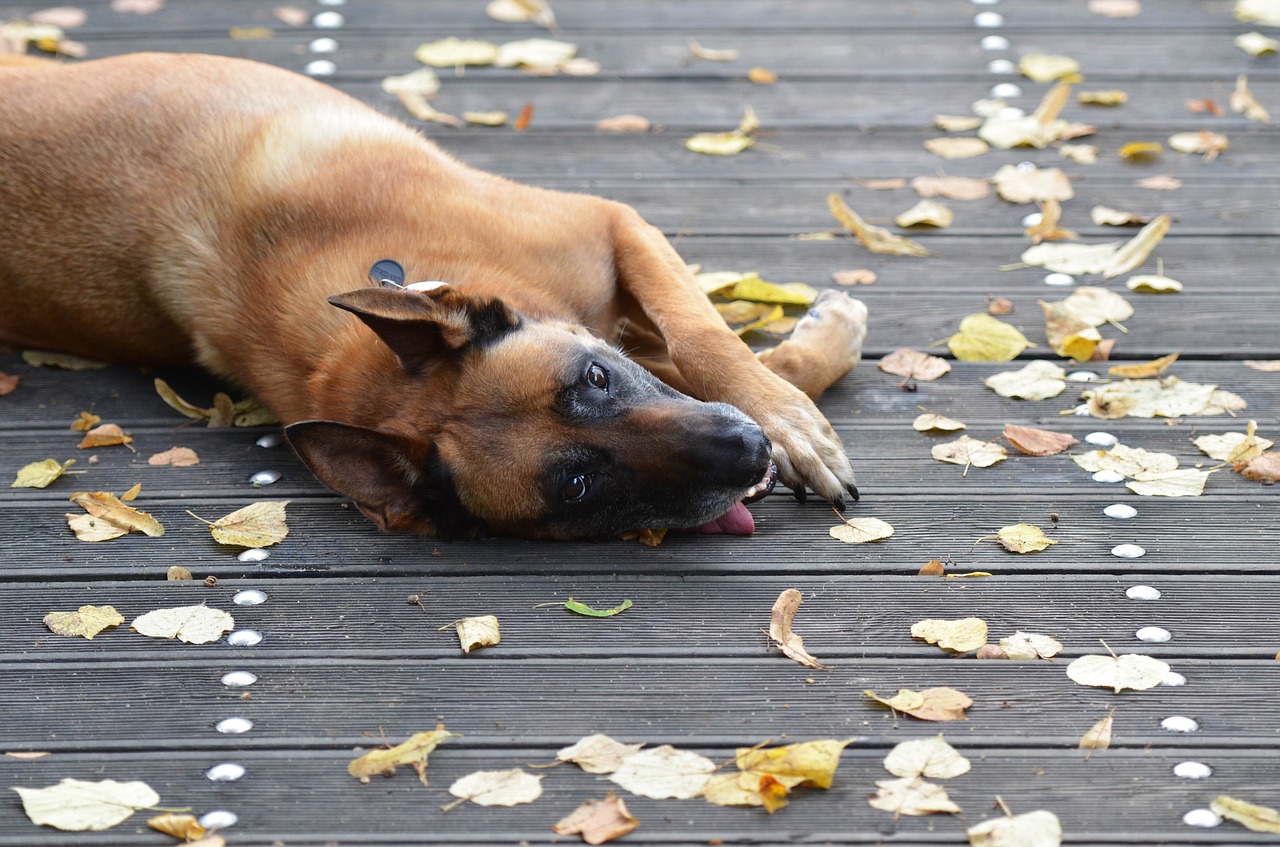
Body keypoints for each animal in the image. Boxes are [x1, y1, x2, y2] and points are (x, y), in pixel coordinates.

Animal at [0, 53, 870, 539]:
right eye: (578, 486)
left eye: (594, 380)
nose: (745, 452)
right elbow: (709, 348)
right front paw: (802, 386)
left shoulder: (612, 227)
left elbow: (703, 335)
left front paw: (792, 419)